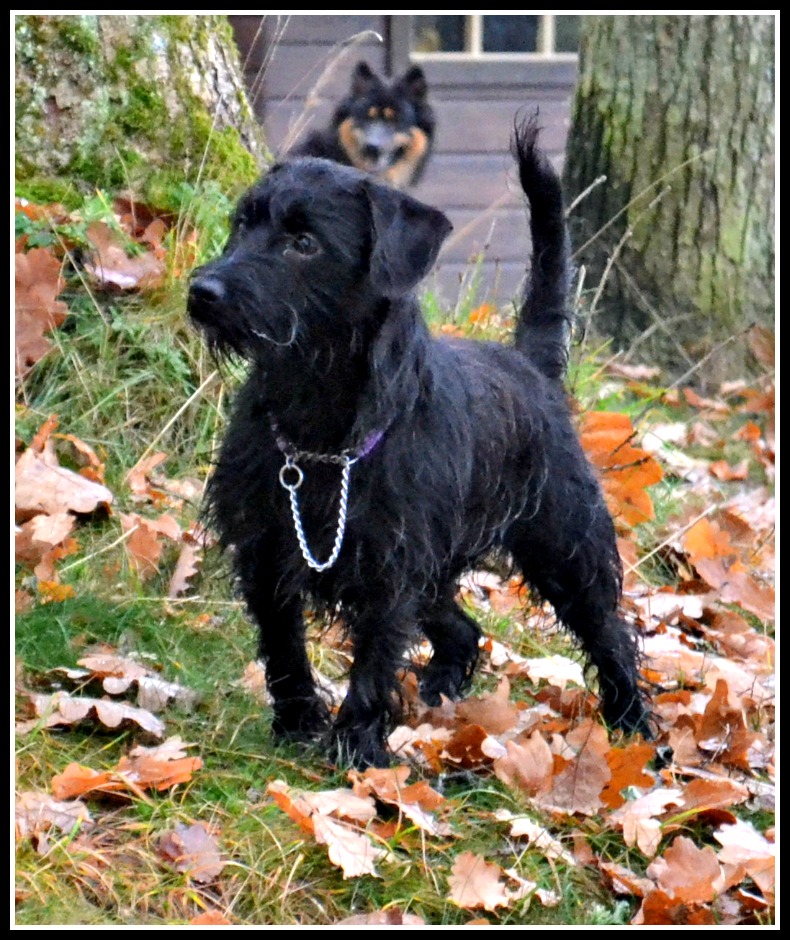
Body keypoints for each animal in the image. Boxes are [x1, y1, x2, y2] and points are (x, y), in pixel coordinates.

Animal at [187, 117, 652, 768]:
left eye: (303, 242)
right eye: (241, 223)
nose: (203, 290)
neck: (317, 410)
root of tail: (529, 366)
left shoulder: (391, 567)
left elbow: (375, 658)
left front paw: (355, 748)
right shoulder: (268, 548)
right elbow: (283, 646)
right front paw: (299, 722)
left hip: (565, 549)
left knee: (609, 631)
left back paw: (634, 724)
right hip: (441, 571)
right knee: (464, 630)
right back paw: (439, 696)